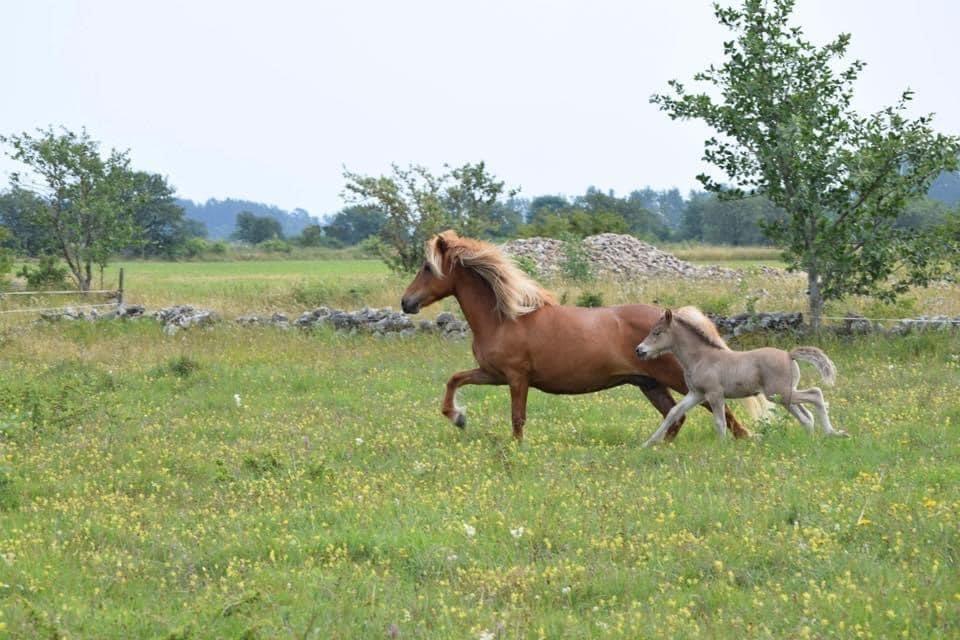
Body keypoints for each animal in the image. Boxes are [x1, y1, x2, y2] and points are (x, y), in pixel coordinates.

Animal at [398, 232, 756, 442]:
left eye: (428, 268)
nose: (406, 302)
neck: (504, 318)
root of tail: (673, 319)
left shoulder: (516, 377)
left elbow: (517, 419)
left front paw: (515, 451)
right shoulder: (493, 374)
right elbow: (455, 379)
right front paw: (458, 417)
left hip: (680, 381)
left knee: (724, 415)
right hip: (649, 384)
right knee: (675, 419)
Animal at [636, 308, 848, 448]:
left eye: (657, 332)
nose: (639, 350)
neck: (701, 358)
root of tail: (789, 355)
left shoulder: (714, 394)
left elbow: (719, 422)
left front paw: (721, 449)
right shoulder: (696, 394)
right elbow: (673, 412)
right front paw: (647, 443)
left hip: (779, 394)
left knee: (815, 394)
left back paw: (832, 433)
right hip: (784, 395)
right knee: (806, 416)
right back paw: (813, 439)